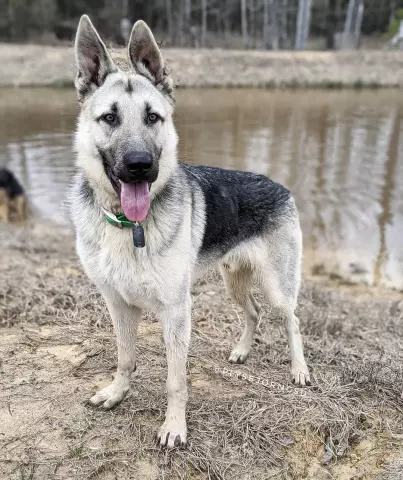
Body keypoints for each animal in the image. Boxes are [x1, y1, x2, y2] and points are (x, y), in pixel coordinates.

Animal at [70, 15, 312, 450]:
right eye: (109, 118)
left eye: (153, 117)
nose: (139, 166)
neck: (131, 226)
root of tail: (279, 185)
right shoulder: (118, 305)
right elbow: (125, 357)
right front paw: (117, 392)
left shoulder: (176, 313)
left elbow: (175, 381)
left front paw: (174, 426)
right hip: (234, 280)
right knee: (253, 313)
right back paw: (242, 350)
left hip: (276, 286)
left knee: (292, 320)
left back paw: (299, 369)